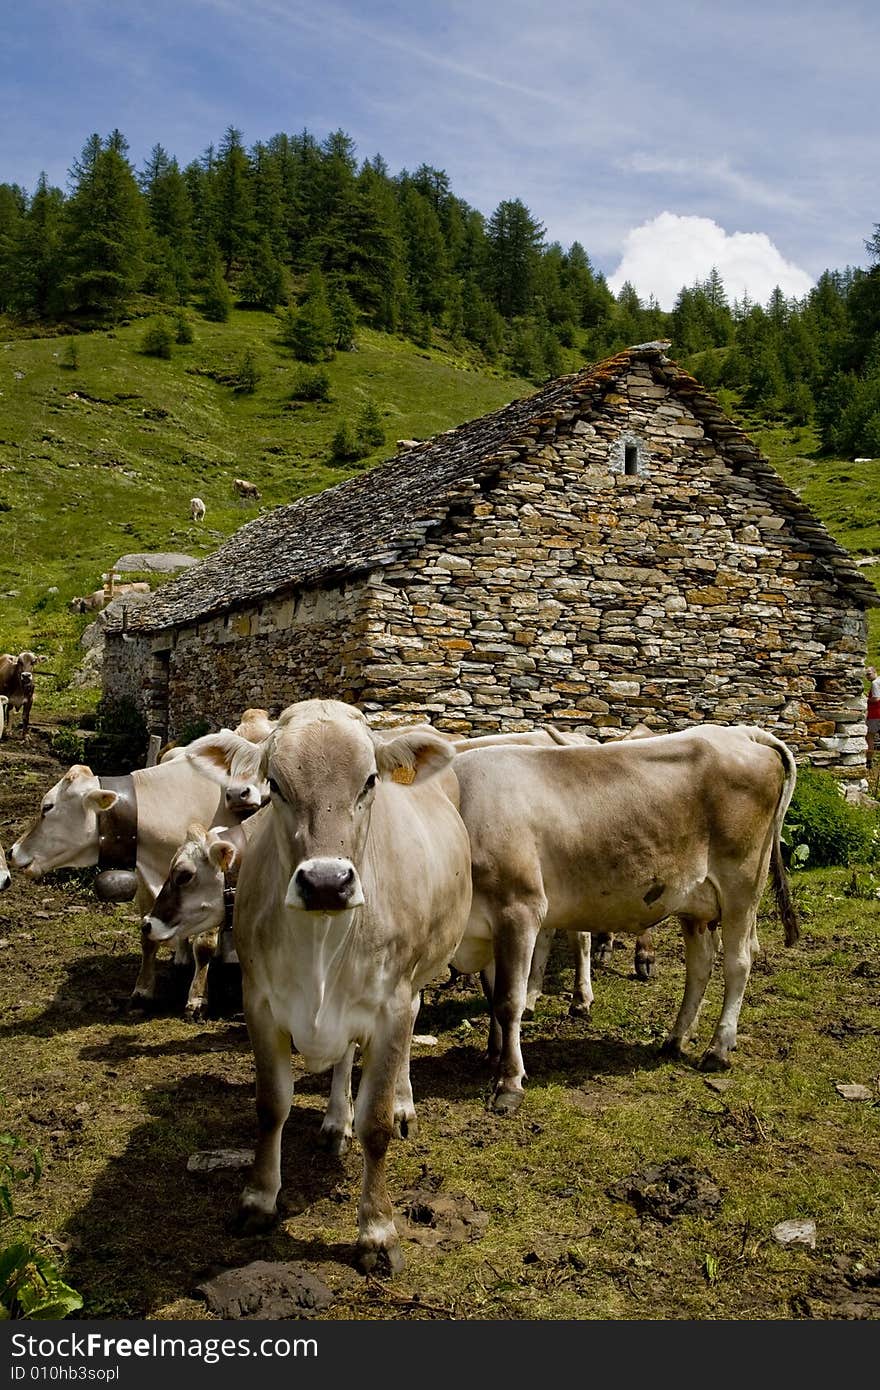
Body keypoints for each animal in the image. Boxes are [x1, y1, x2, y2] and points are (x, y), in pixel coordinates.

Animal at [184, 700, 472, 1273]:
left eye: (370, 781)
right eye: (274, 783)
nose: (325, 883)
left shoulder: (391, 1005)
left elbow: (376, 1125)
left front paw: (378, 1232)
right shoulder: (260, 1003)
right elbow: (271, 1105)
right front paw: (258, 1200)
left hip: (417, 980)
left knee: (407, 1035)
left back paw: (403, 1102)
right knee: (343, 1059)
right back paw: (337, 1121)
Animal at [450, 722, 800, 1112]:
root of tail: (743, 732)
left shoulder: (518, 911)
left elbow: (509, 1001)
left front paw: (509, 1081)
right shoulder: (486, 928)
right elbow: (493, 996)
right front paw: (493, 1056)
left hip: (742, 886)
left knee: (738, 963)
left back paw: (717, 1049)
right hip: (696, 902)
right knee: (700, 966)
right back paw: (675, 1039)